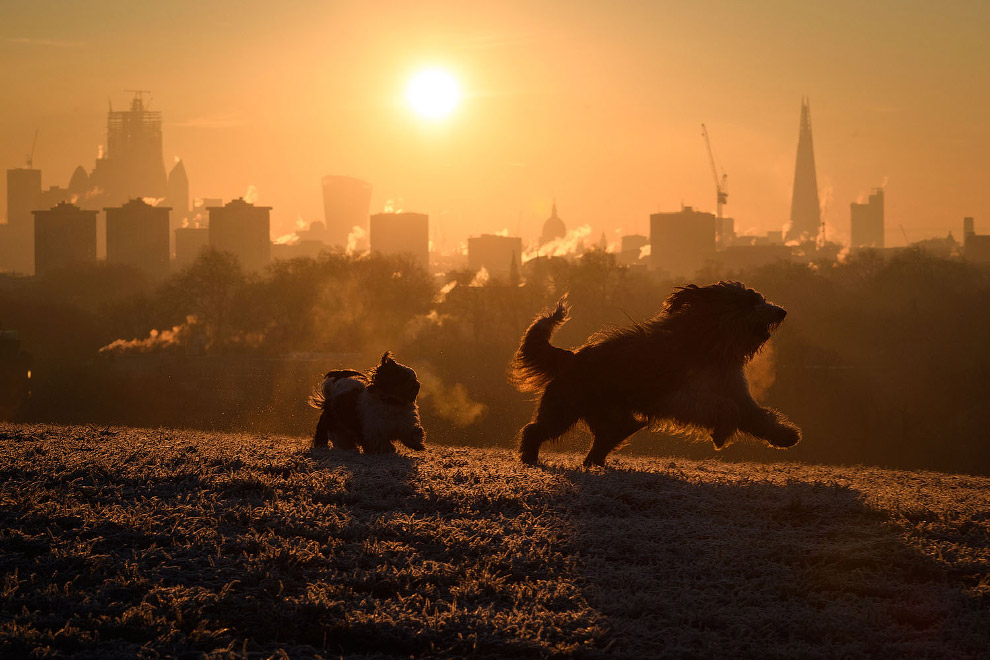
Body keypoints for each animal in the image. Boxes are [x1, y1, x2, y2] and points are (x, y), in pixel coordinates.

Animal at [508, 282, 804, 466]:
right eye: (751, 301)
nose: (782, 311)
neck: (712, 346)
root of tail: (570, 356)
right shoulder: (679, 396)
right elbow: (725, 408)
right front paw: (721, 433)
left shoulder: (736, 392)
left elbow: (758, 416)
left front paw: (786, 436)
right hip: (564, 409)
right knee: (534, 430)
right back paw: (530, 459)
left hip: (618, 419)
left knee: (606, 438)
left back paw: (596, 463)